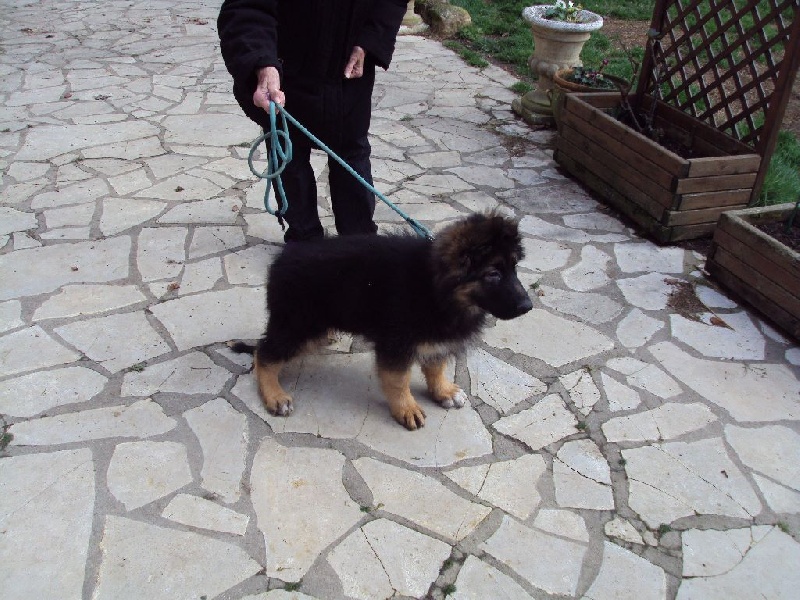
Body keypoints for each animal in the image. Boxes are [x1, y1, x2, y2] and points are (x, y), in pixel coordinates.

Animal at [231, 213, 533, 430]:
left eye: (514, 268)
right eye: (493, 273)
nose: (528, 307)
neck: (434, 287)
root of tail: (280, 260)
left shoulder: (436, 338)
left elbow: (435, 366)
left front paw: (443, 391)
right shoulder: (396, 342)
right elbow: (398, 379)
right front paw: (406, 408)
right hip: (298, 324)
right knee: (264, 353)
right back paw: (274, 395)